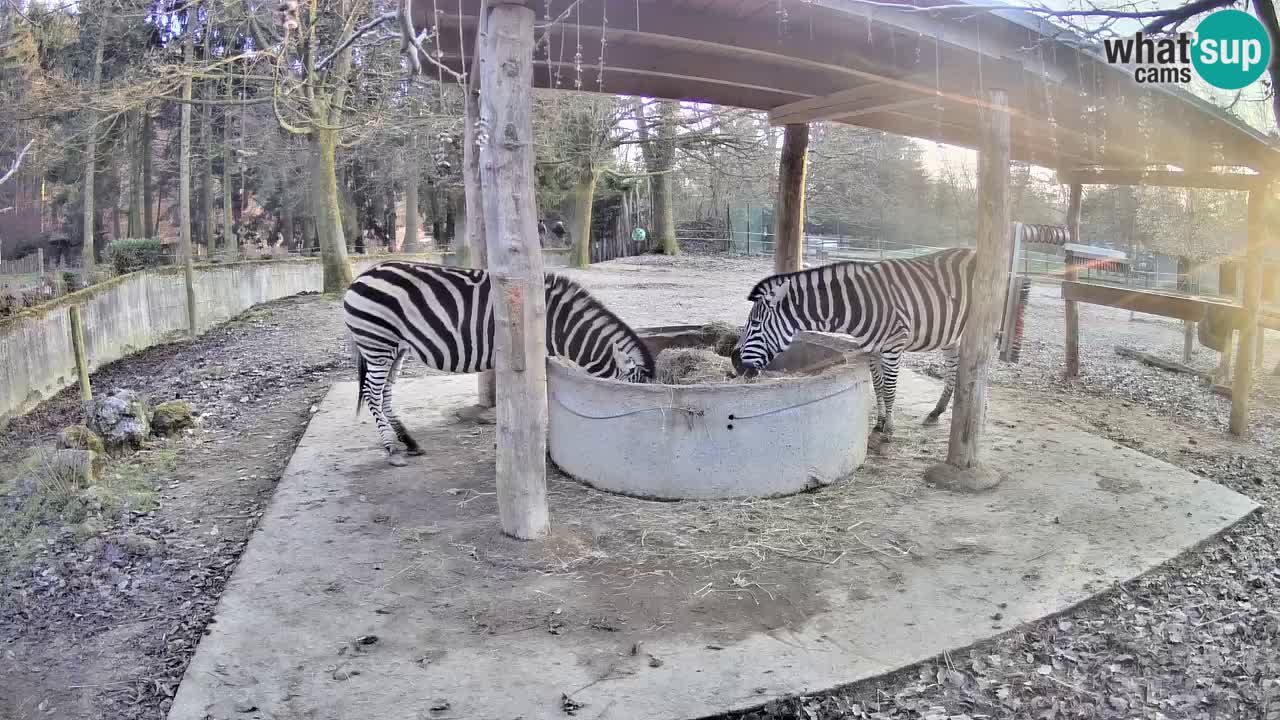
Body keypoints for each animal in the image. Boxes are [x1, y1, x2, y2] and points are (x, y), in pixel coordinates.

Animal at [345, 260, 655, 461]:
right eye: (630, 394)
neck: (557, 324)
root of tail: (361, 276)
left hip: (393, 347)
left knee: (384, 392)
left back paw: (408, 441)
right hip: (377, 342)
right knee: (371, 393)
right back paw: (391, 449)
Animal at [732, 245, 977, 438]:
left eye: (755, 324)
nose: (734, 361)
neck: (858, 304)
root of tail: (973, 250)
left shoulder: (893, 346)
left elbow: (890, 388)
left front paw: (889, 430)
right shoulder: (872, 348)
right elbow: (878, 386)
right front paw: (879, 423)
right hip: (951, 334)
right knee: (952, 367)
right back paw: (936, 412)